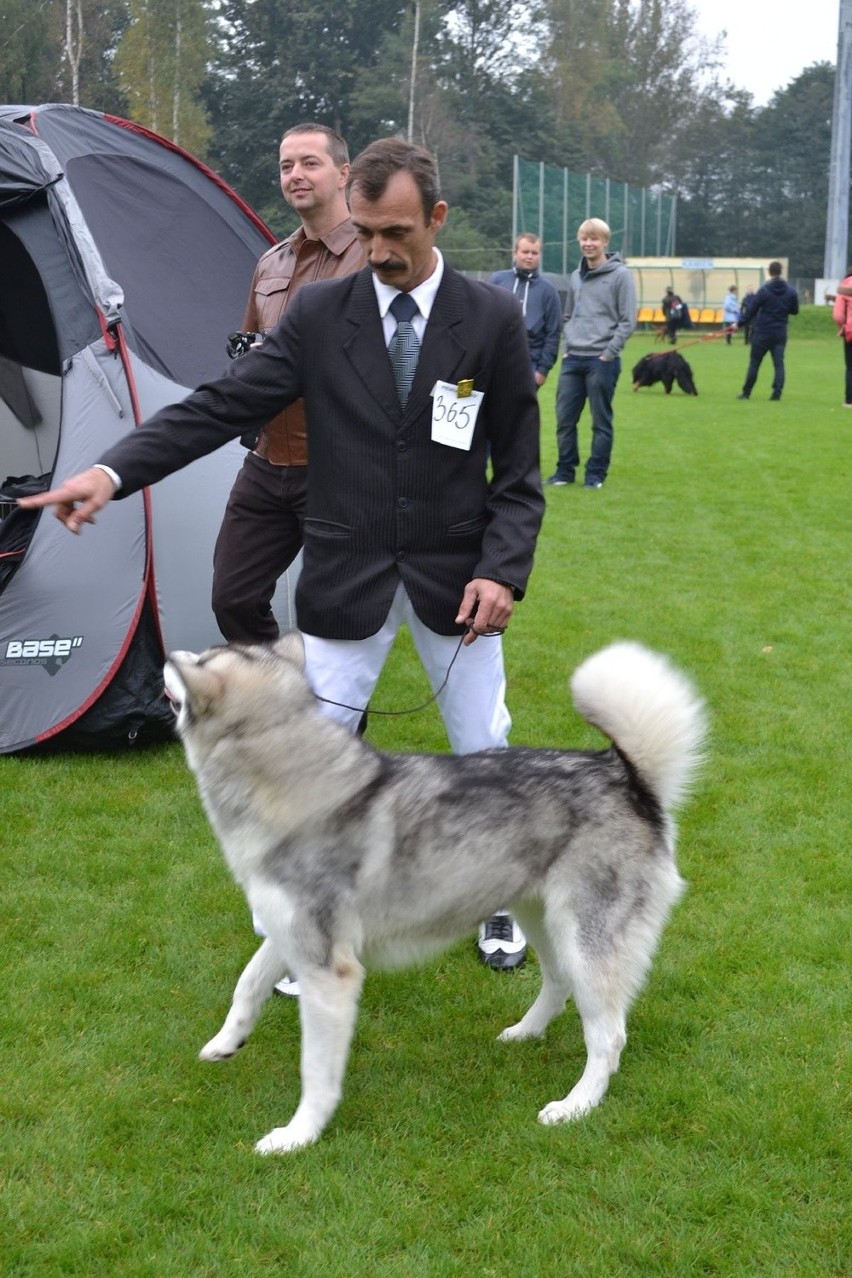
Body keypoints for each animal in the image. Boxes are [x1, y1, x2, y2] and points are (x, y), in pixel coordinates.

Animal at [161, 633, 705, 1155]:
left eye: (201, 659)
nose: (169, 653)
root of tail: (625, 775)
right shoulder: (293, 935)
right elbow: (248, 982)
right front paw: (226, 1041)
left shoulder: (330, 971)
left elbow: (315, 1071)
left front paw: (298, 1136)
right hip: (544, 922)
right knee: (558, 983)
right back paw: (525, 1033)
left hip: (586, 942)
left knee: (609, 1036)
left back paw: (576, 1106)